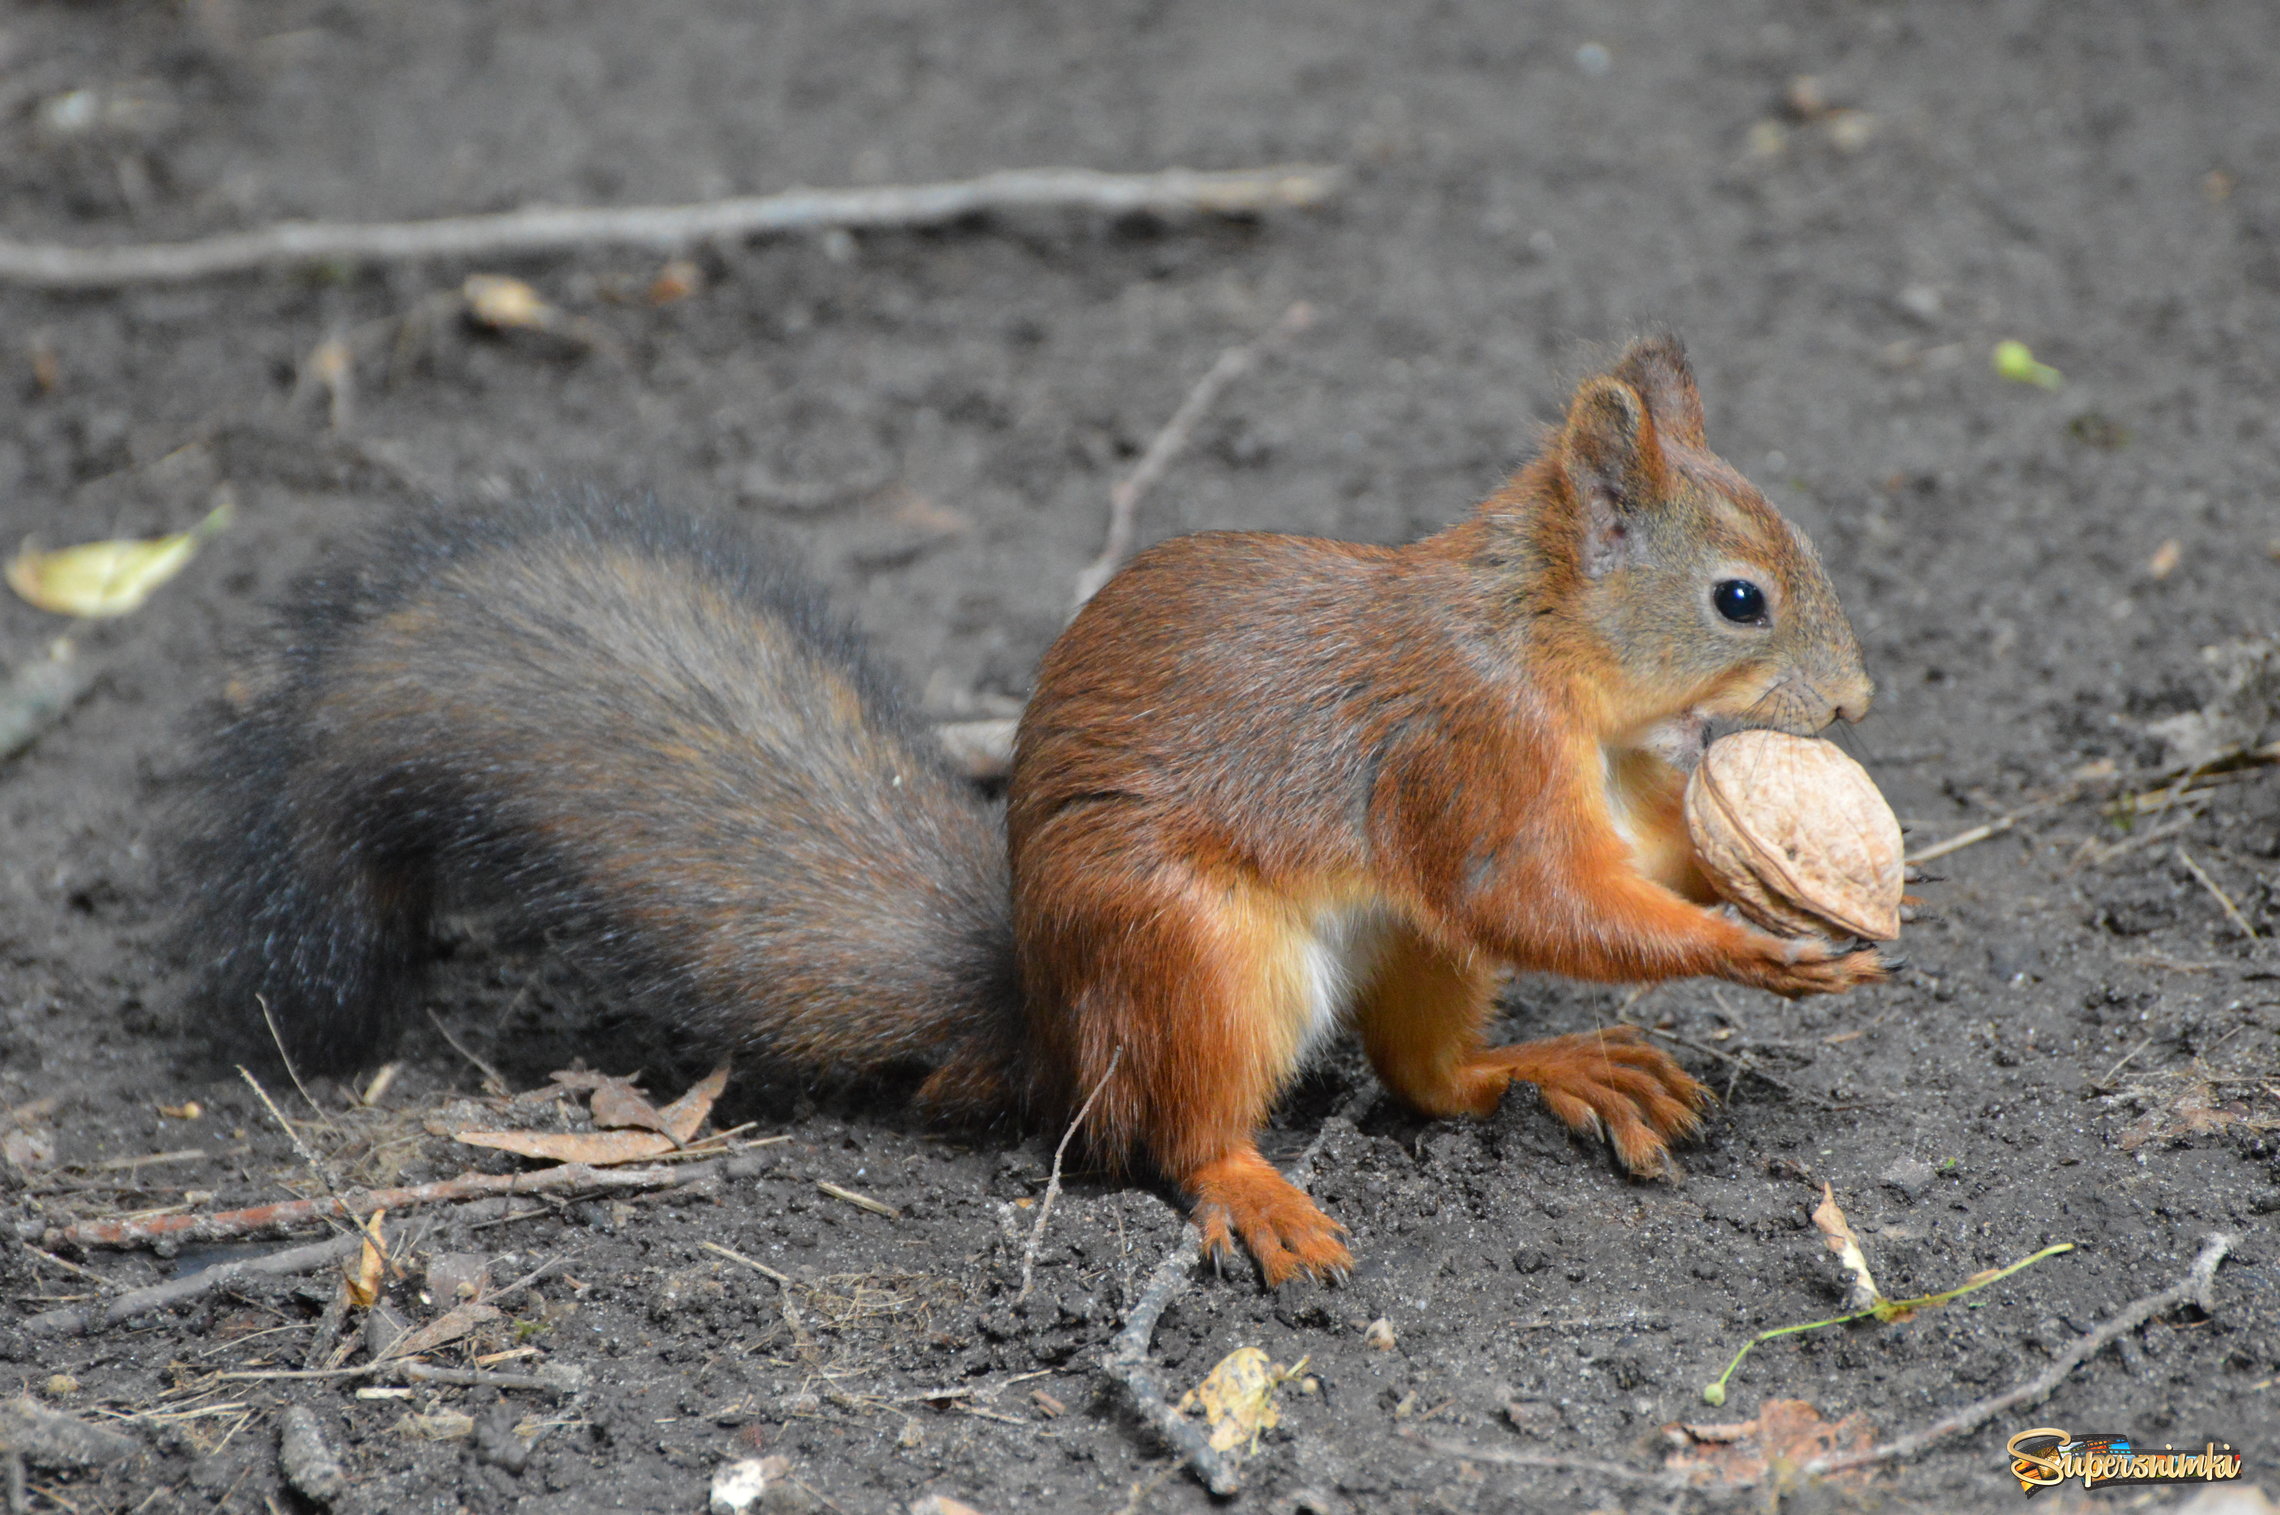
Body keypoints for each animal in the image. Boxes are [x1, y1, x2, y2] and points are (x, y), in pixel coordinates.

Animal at [177, 337, 1878, 1286]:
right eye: (1738, 599)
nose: (1859, 704)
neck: (1550, 653)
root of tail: (1047, 1016)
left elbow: (1627, 862)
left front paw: (1776, 885)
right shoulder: (1464, 754)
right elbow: (1545, 892)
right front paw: (1749, 944)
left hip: (1396, 956)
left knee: (1431, 1077)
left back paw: (1559, 1065)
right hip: (1195, 958)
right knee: (1171, 1133)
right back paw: (1253, 1190)